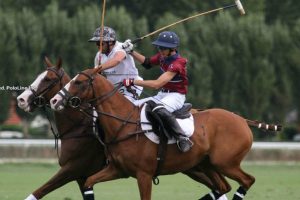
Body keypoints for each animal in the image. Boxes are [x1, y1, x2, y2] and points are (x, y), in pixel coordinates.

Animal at [17, 57, 106, 199]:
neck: (78, 126)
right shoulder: (82, 177)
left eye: (48, 79)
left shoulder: (72, 168)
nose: (21, 99)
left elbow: (40, 191)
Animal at [49, 66, 282, 199]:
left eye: (79, 82)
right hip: (207, 164)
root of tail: (241, 119)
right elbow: (89, 182)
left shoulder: (143, 174)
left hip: (225, 163)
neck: (123, 123)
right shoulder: (117, 170)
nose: (54, 100)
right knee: (223, 187)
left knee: (247, 181)